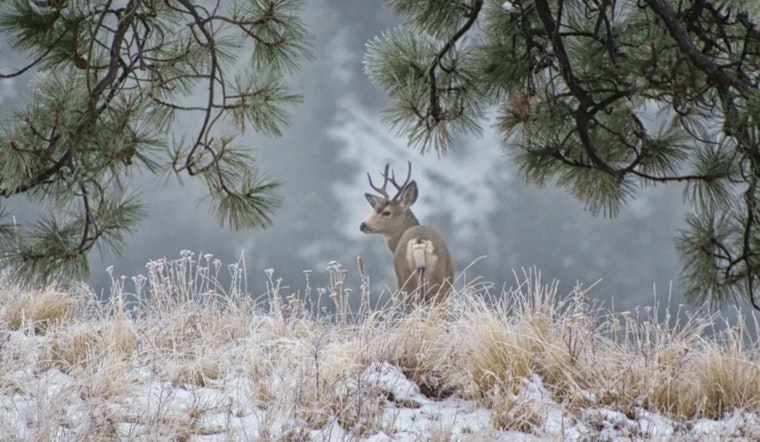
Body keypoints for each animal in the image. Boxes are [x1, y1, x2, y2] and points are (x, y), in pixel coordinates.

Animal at [359, 162, 454, 308]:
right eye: (375, 209)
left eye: (386, 212)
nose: (363, 225)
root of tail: (419, 242)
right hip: (433, 282)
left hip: (410, 282)